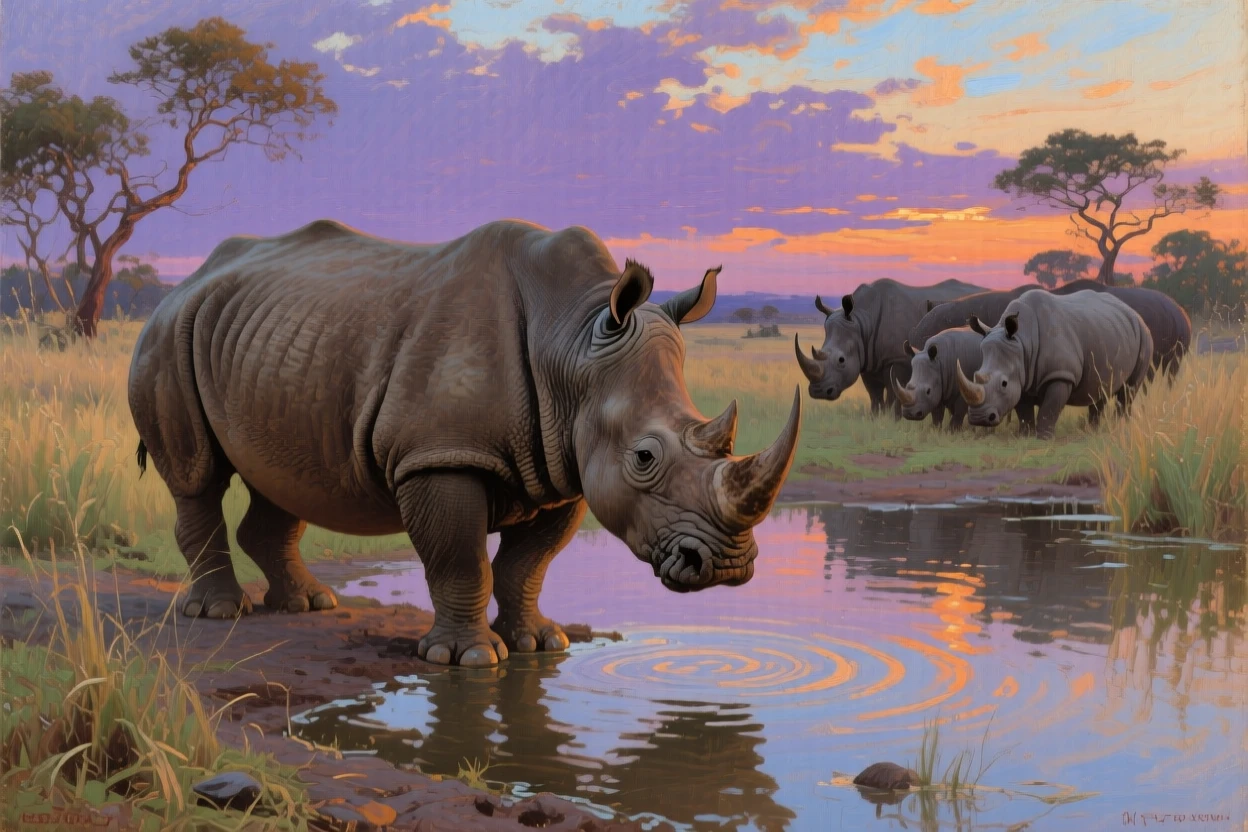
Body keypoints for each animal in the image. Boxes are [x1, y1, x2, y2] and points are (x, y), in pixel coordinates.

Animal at [128, 219, 802, 667]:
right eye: (644, 457)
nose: (727, 566)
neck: (572, 340)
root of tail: (187, 280)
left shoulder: (564, 465)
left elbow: (529, 564)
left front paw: (539, 643)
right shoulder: (439, 455)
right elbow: (460, 558)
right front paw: (469, 660)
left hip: (269, 341)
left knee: (283, 475)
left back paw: (309, 605)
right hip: (167, 334)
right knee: (196, 476)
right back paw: (221, 613)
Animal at [793, 278, 984, 417]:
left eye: (841, 360)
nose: (818, 392)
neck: (862, 321)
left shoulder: (898, 358)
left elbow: (893, 391)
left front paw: (893, 419)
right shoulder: (867, 358)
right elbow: (874, 393)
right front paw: (875, 417)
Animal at [954, 290, 1154, 439]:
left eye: (1003, 383)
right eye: (975, 375)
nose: (978, 418)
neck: (1023, 341)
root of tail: (1134, 313)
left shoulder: (1061, 374)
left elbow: (1050, 408)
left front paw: (1043, 438)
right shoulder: (1021, 376)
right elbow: (1024, 410)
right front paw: (1025, 435)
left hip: (1144, 336)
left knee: (1128, 391)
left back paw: (1121, 429)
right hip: (1108, 332)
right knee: (1100, 389)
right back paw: (1092, 431)